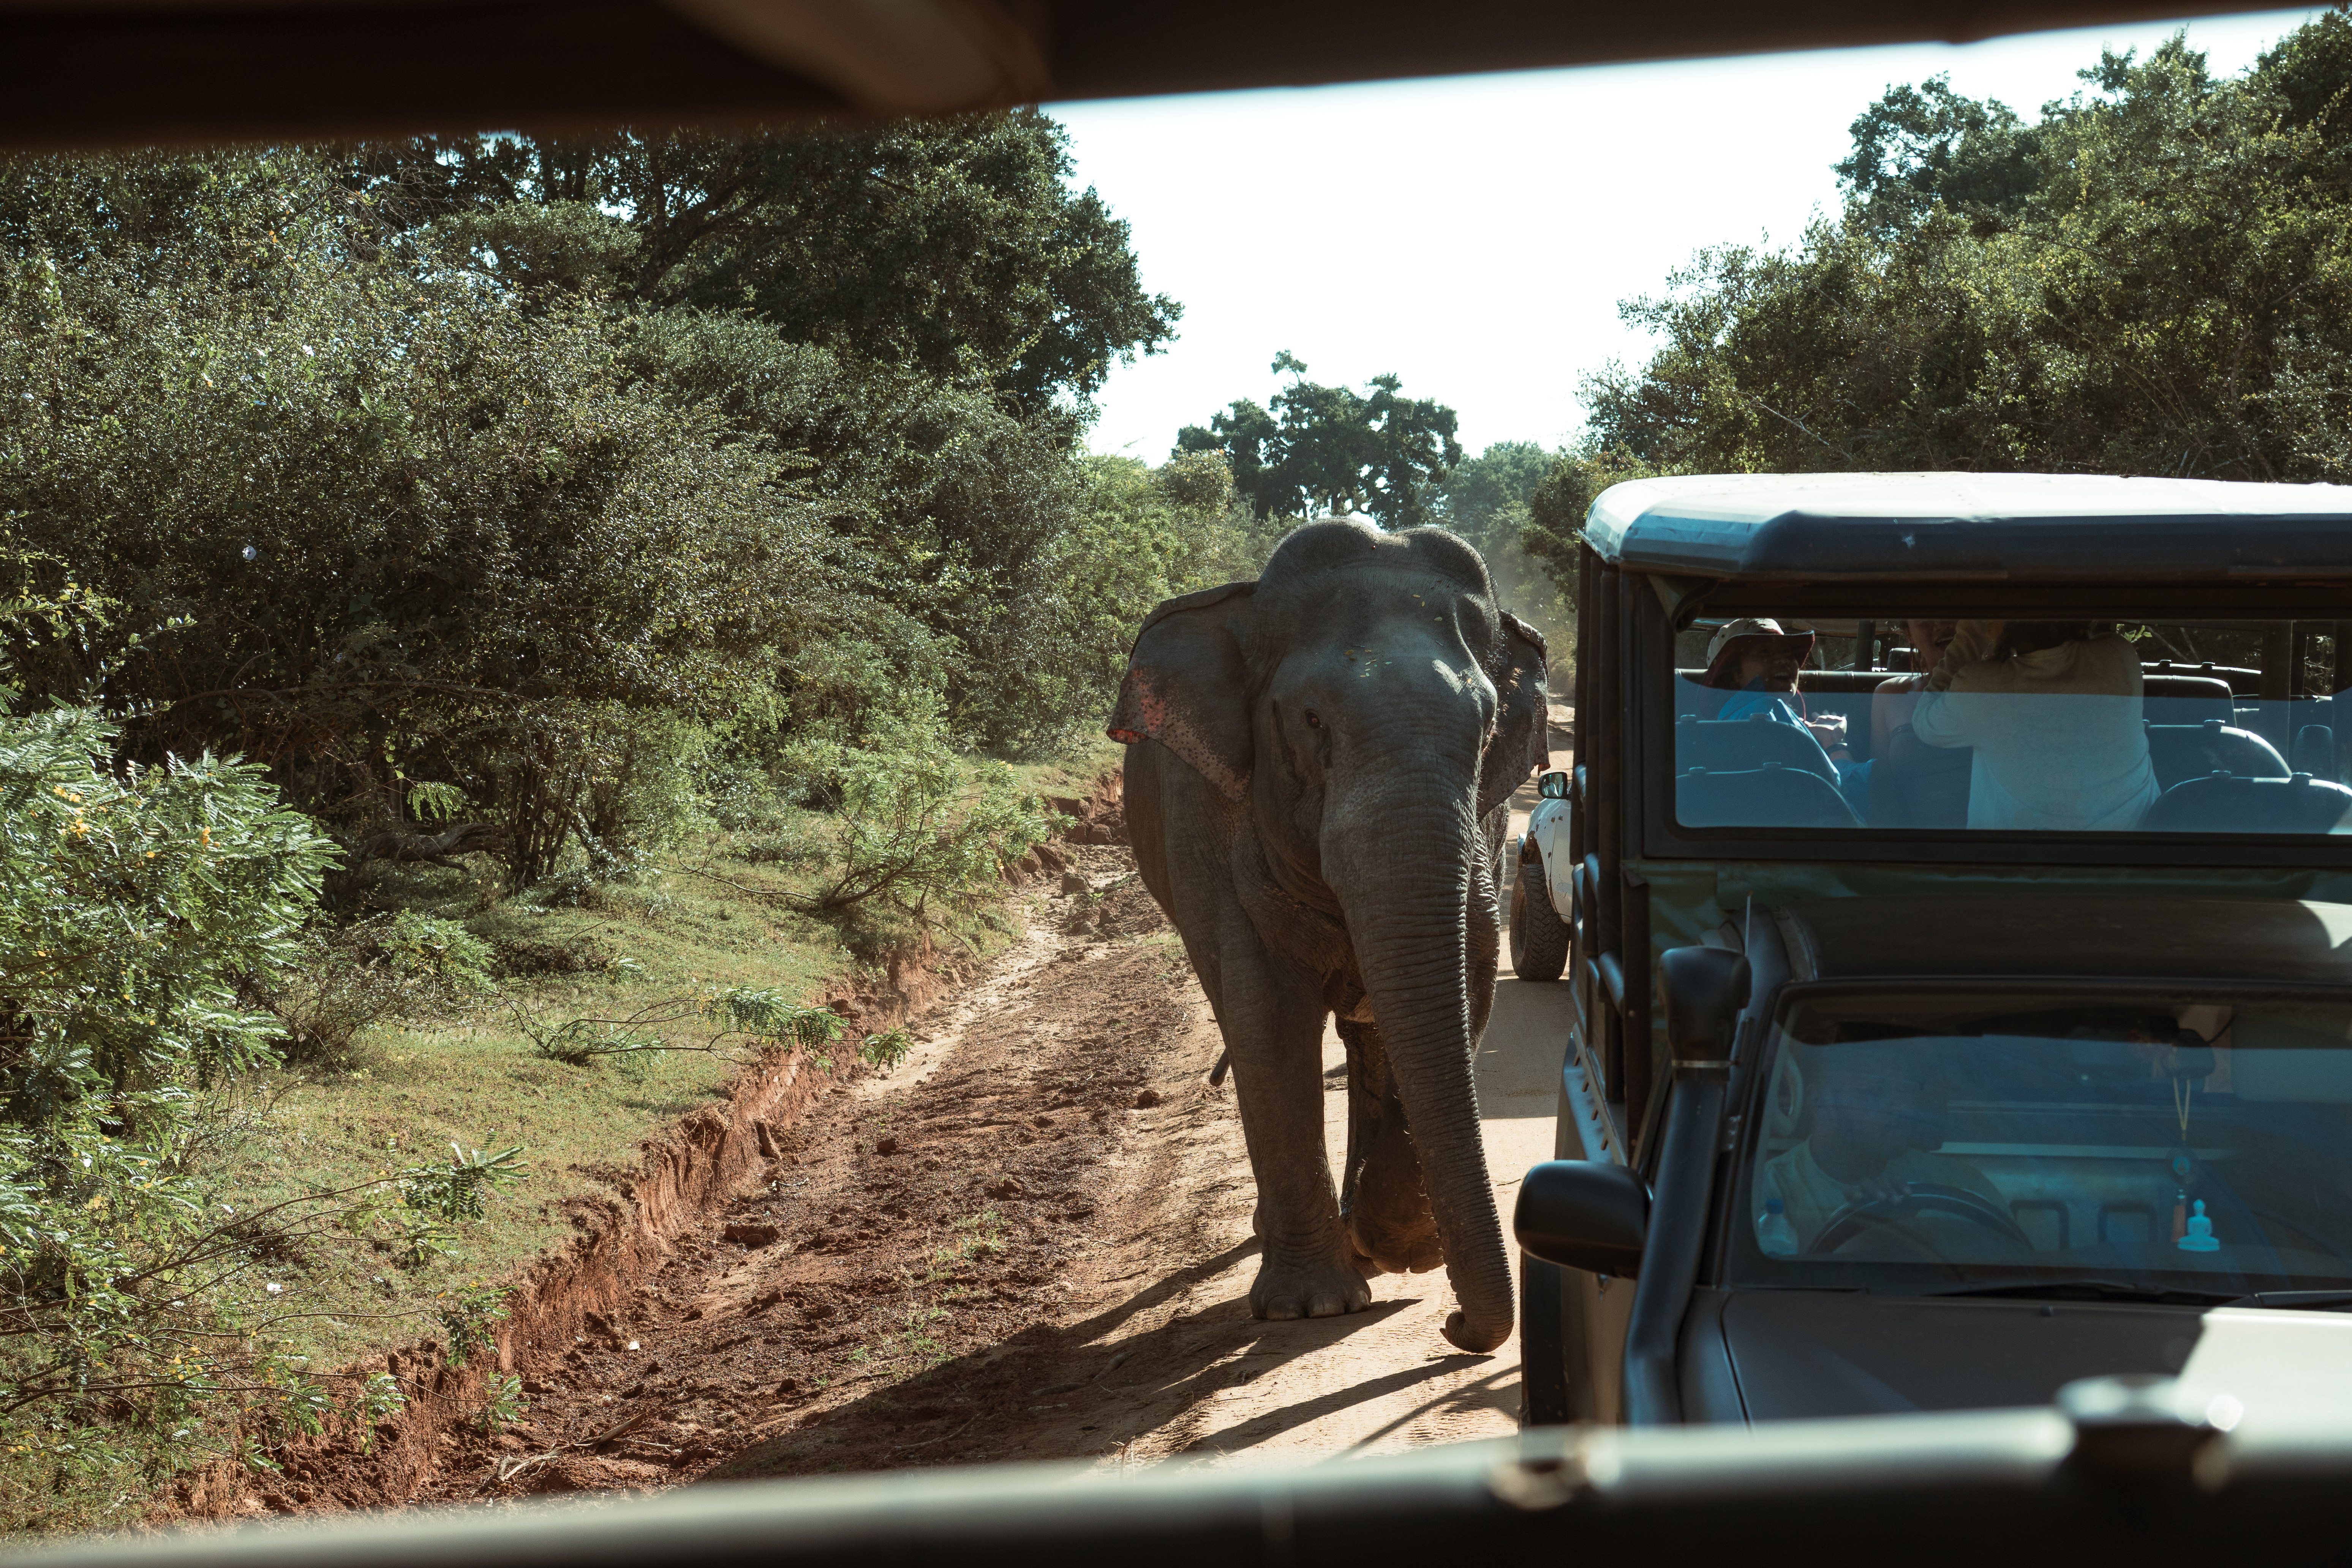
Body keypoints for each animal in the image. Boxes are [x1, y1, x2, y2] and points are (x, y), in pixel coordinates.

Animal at [1108, 518, 1549, 1353]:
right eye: (1312, 721)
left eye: (1485, 730)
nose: (1454, 1326)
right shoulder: (1214, 828)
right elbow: (1270, 1019)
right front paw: (1309, 1307)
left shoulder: (1486, 828)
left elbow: (1457, 990)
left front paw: (1401, 1252)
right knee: (1246, 1017)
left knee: (1365, 1031)